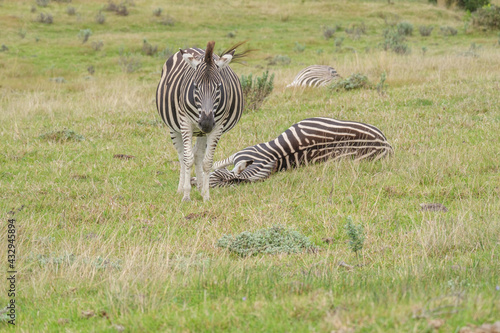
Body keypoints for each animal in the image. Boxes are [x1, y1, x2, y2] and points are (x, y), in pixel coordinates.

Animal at [154, 41, 244, 202]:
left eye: (219, 87)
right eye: (195, 86)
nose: (206, 123)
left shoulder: (217, 127)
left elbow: (207, 162)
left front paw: (206, 195)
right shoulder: (185, 122)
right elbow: (187, 159)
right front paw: (186, 195)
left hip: (202, 134)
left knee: (199, 155)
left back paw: (201, 187)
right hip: (174, 128)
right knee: (182, 156)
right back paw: (180, 189)